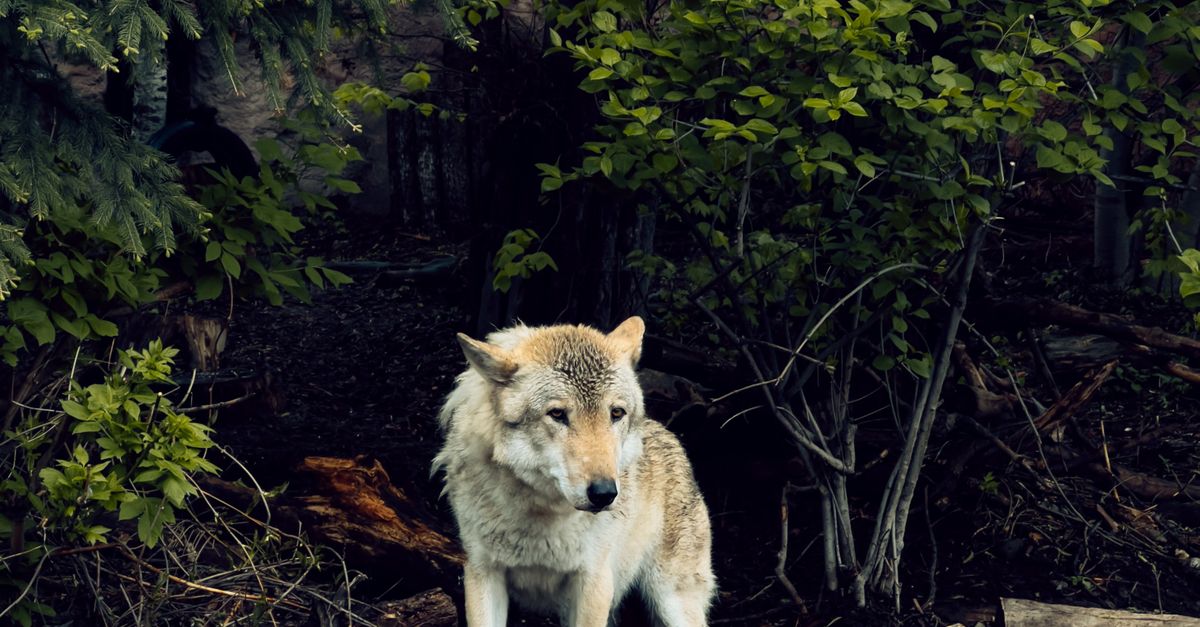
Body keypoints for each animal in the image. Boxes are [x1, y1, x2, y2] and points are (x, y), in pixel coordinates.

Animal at [433, 316, 715, 626]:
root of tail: (669, 434)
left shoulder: (595, 581)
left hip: (671, 602)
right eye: (557, 414)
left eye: (616, 413)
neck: (540, 518)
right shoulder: (481, 572)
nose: (604, 493)